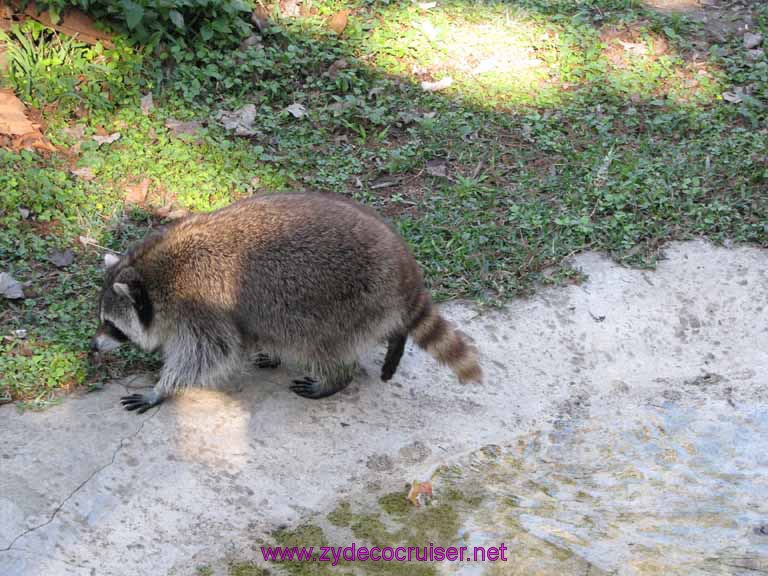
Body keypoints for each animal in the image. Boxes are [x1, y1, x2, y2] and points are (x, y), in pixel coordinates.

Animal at [93, 194, 484, 414]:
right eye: (102, 321)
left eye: (112, 325)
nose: (94, 346)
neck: (152, 276)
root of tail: (405, 267)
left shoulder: (200, 308)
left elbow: (207, 353)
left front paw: (162, 389)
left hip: (347, 300)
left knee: (320, 342)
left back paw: (336, 377)